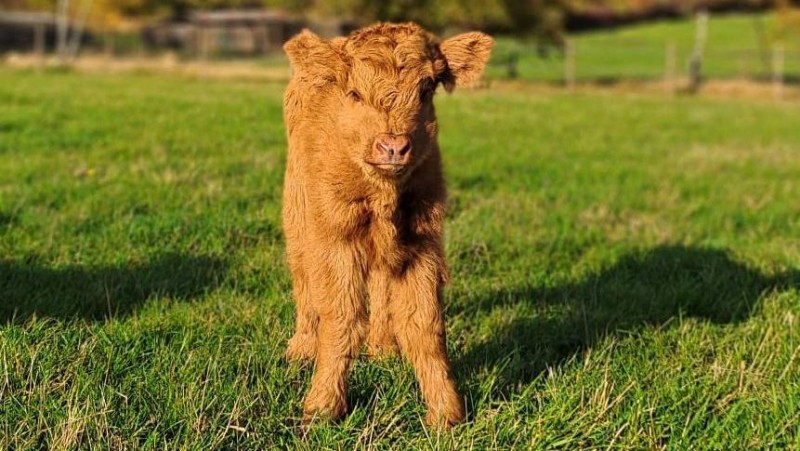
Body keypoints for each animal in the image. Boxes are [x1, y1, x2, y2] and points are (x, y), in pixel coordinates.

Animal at [282, 23, 494, 430]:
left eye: (427, 89)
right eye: (353, 92)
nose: (393, 147)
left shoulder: (422, 243)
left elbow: (426, 325)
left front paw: (446, 413)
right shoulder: (335, 240)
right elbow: (341, 316)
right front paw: (322, 407)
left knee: (380, 284)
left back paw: (383, 347)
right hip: (298, 213)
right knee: (303, 277)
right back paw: (301, 348)